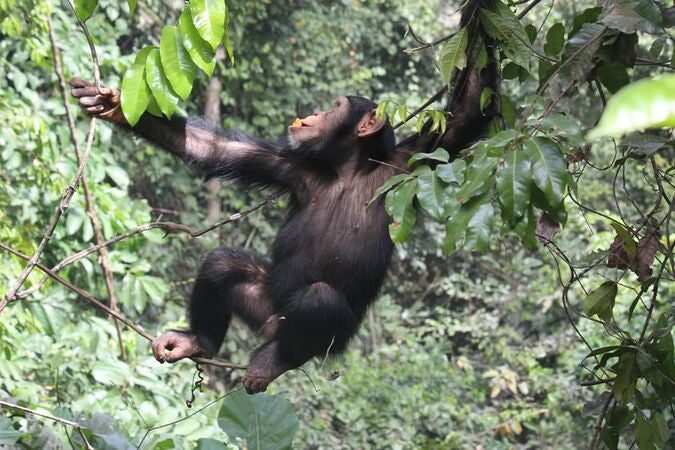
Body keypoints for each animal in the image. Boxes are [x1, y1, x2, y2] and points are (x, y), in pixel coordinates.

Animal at [71, 0, 496, 394]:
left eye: (336, 107)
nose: (315, 112)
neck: (348, 167)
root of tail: (273, 326)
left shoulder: (414, 159)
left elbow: (468, 110)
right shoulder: (289, 163)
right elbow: (216, 149)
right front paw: (111, 106)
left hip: (333, 339)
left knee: (319, 301)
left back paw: (275, 360)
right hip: (265, 304)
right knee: (222, 264)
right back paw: (198, 341)